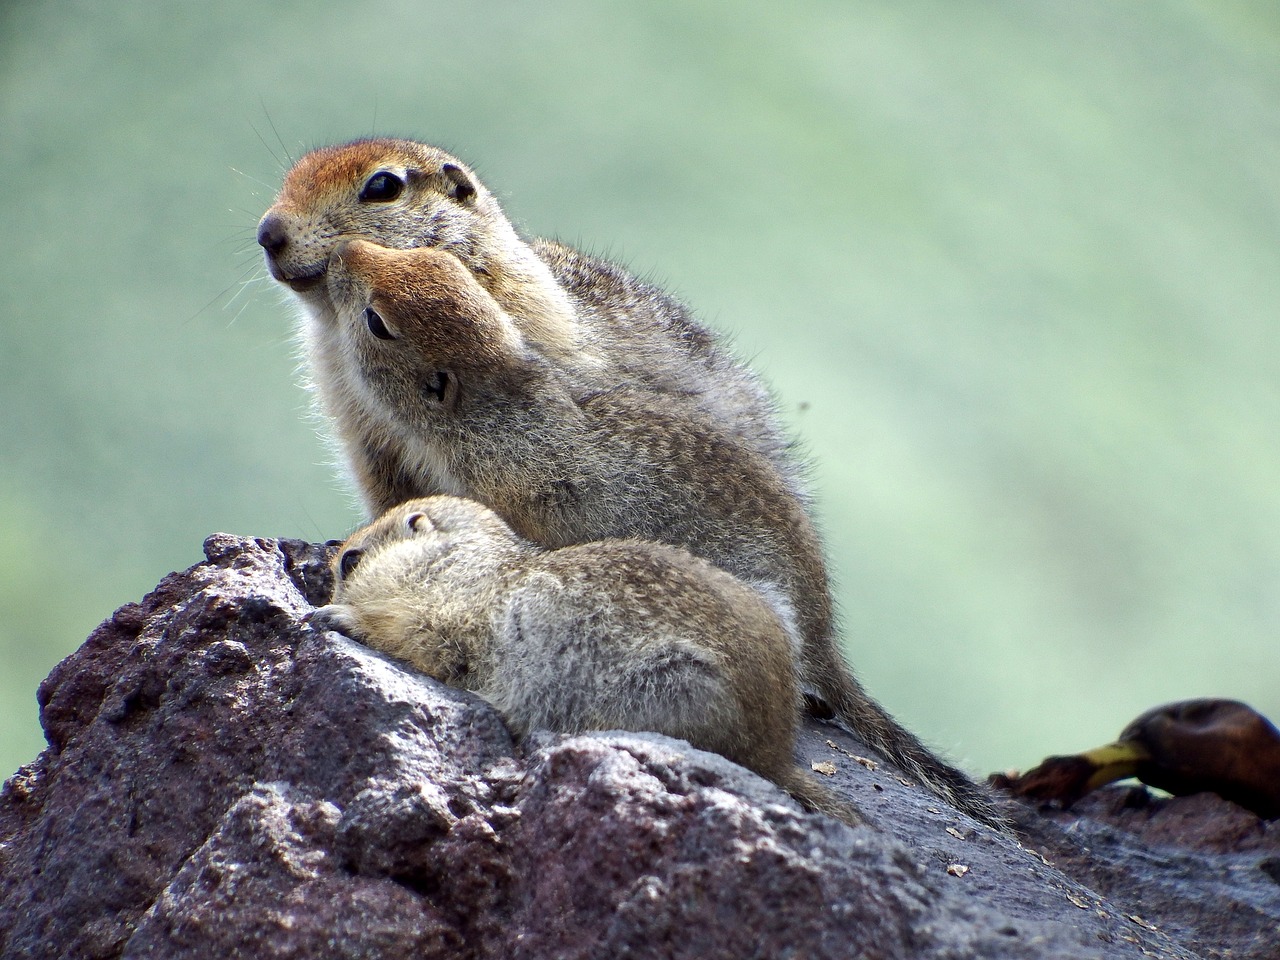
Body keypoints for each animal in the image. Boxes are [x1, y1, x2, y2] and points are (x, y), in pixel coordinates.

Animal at [308, 496, 855, 829]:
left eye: (351, 561)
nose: (332, 575)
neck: (456, 559)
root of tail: (776, 752)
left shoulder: (443, 616)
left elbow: (419, 639)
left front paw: (337, 615)